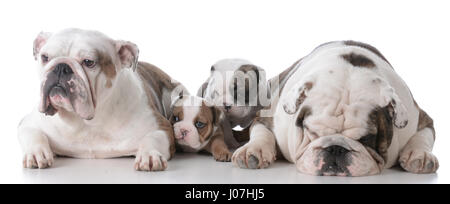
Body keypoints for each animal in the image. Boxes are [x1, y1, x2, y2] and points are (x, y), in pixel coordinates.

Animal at [18, 28, 186, 171]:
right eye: (45, 57)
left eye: (89, 62)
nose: (61, 67)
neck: (89, 122)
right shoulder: (27, 123)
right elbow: (34, 134)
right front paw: (36, 153)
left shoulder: (161, 127)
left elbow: (153, 138)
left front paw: (149, 155)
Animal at [234, 40, 438, 176]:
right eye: (312, 132)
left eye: (367, 139)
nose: (336, 149)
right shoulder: (266, 117)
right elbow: (261, 132)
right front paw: (254, 150)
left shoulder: (420, 118)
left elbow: (423, 136)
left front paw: (420, 155)